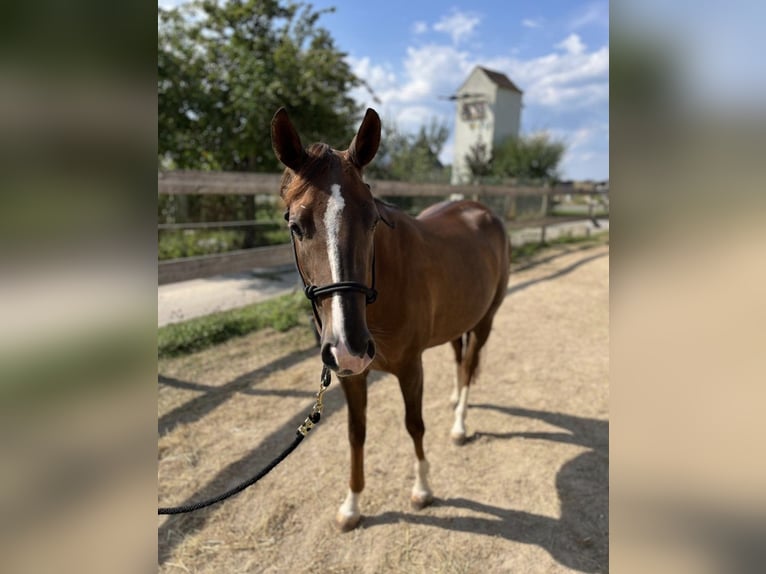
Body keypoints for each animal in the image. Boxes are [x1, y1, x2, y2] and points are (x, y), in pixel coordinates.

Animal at [270, 109, 510, 536]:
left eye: (372, 221)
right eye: (295, 225)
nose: (348, 345)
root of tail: (481, 211)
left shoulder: (410, 367)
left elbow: (415, 424)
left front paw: (423, 489)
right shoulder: (352, 376)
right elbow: (356, 434)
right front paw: (351, 505)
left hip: (486, 320)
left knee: (469, 365)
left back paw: (459, 425)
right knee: (459, 358)